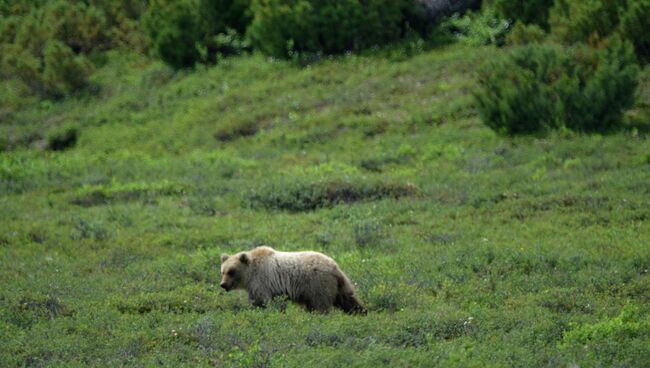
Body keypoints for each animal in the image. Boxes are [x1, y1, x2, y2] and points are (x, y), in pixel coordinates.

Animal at [221, 246, 364, 314]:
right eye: (222, 271)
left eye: (231, 271)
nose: (223, 284)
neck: (250, 274)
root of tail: (334, 266)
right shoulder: (274, 289)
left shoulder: (261, 281)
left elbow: (260, 301)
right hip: (337, 284)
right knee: (347, 298)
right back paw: (361, 312)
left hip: (317, 284)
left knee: (320, 304)